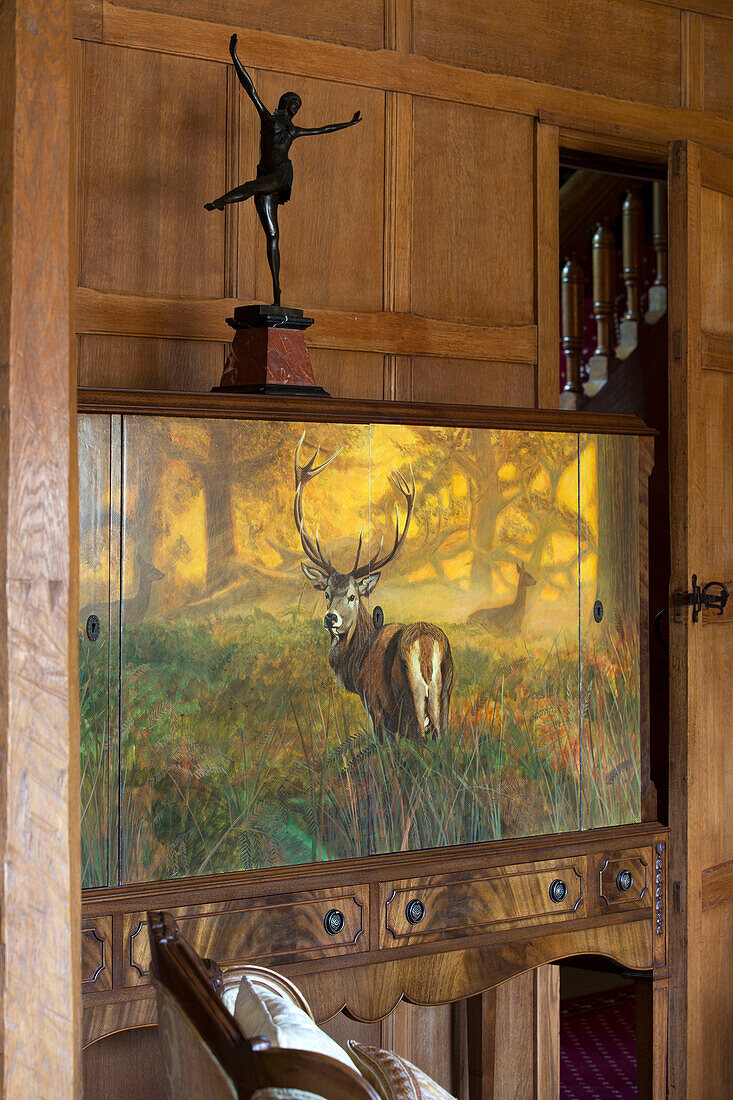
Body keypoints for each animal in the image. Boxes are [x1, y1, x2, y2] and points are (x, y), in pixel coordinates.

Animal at [292, 435, 451, 739]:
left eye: (353, 596)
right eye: (326, 593)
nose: (331, 618)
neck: (357, 665)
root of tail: (427, 643)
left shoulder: (377, 708)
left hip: (410, 700)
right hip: (444, 696)